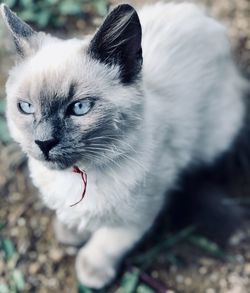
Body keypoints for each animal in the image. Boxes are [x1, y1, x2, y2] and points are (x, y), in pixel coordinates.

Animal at [0, 2, 249, 288]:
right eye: (26, 108)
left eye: (79, 108)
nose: (44, 142)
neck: (80, 173)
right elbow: (72, 217)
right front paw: (71, 231)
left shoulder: (139, 215)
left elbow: (108, 242)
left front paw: (91, 270)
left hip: (214, 136)